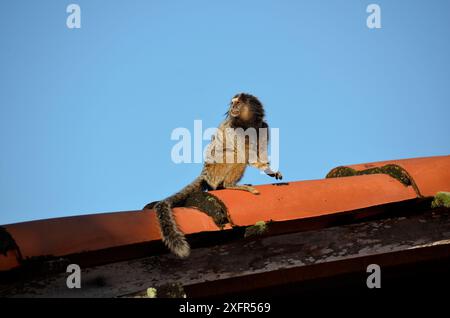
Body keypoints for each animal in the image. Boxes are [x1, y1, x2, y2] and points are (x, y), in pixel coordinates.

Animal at [144, 93, 284, 258]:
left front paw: (270, 169)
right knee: (235, 154)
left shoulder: (264, 128)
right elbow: (245, 154)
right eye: (233, 104)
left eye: (237, 104)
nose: (233, 108)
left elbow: (259, 152)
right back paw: (231, 185)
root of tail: (205, 174)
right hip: (216, 170)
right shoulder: (234, 129)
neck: (248, 124)